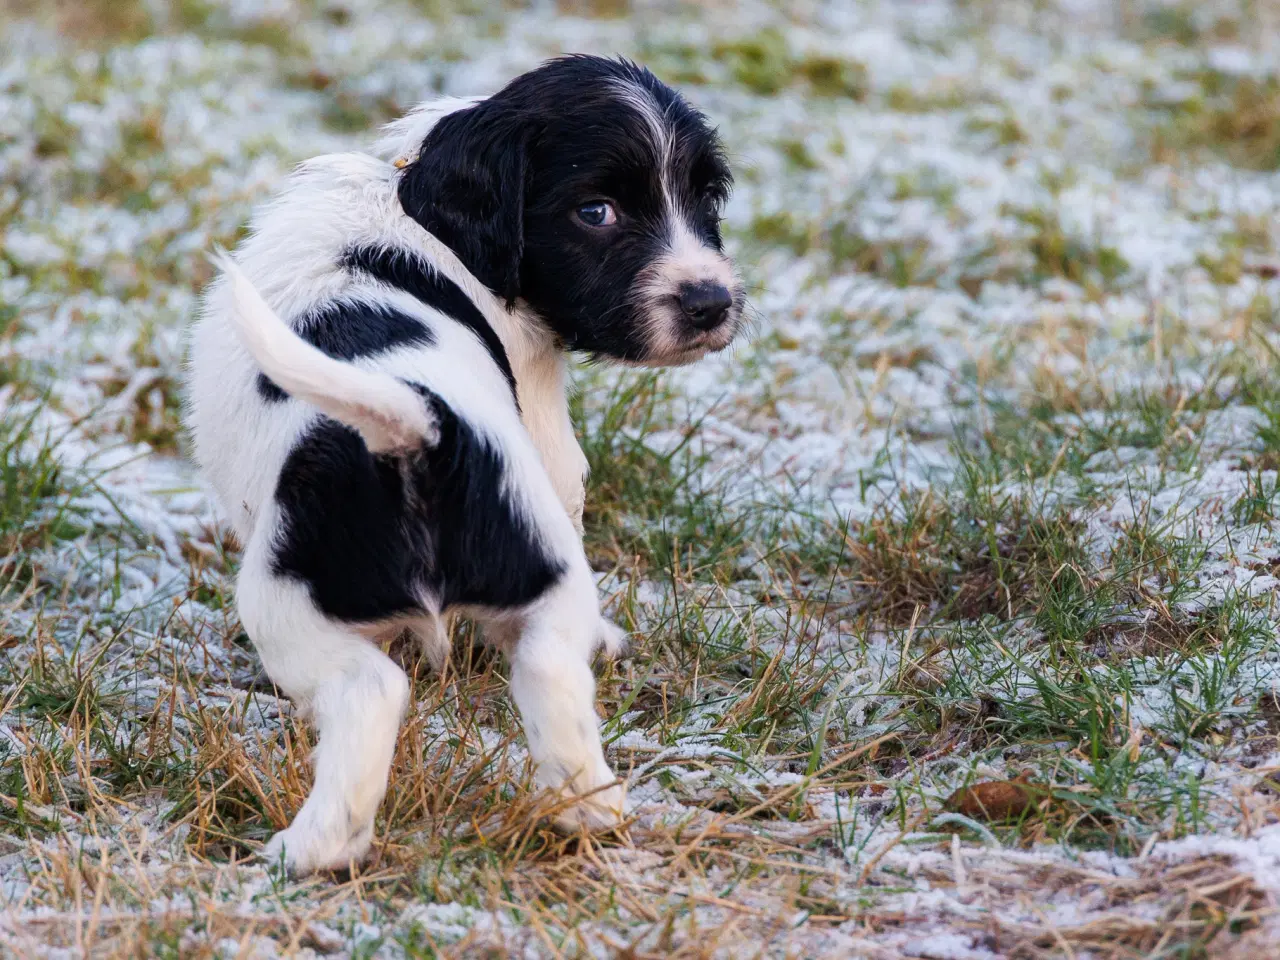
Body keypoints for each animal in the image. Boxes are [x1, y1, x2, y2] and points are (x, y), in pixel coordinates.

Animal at [183, 56, 742, 875]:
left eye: (704, 198)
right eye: (596, 212)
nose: (711, 302)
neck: (418, 207)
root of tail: (420, 425)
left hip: (285, 603)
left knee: (372, 692)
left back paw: (307, 851)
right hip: (526, 573)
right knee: (545, 677)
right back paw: (583, 813)